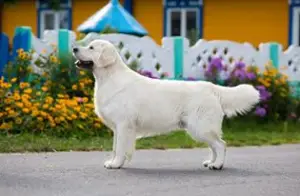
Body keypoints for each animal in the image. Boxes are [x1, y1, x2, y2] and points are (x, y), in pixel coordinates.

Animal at [72, 39, 260, 170]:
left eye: (91, 48)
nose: (74, 48)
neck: (109, 77)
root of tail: (211, 87)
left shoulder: (124, 125)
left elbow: (119, 149)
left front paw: (116, 164)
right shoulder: (118, 128)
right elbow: (115, 147)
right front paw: (113, 162)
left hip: (200, 127)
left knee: (221, 145)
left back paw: (217, 165)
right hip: (201, 128)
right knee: (214, 146)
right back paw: (211, 162)